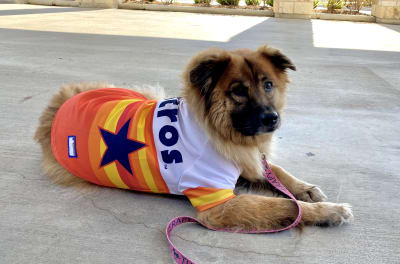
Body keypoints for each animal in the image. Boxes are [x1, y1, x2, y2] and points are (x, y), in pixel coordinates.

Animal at [35, 45, 354, 231]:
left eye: (268, 85)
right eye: (238, 91)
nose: (272, 119)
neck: (217, 131)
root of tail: (57, 107)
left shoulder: (246, 161)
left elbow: (277, 171)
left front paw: (306, 189)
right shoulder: (220, 203)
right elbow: (285, 205)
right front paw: (329, 212)